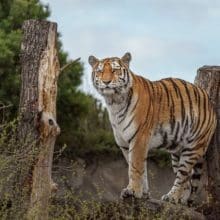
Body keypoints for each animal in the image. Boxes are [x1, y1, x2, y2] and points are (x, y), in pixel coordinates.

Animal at [87, 52, 217, 204]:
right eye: (100, 71)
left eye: (114, 70)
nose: (106, 82)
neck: (114, 102)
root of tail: (209, 100)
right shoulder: (124, 143)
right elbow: (137, 168)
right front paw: (143, 193)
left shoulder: (139, 139)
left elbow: (135, 167)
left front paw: (133, 191)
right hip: (177, 151)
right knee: (188, 179)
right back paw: (180, 200)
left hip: (193, 147)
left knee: (183, 175)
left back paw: (172, 197)